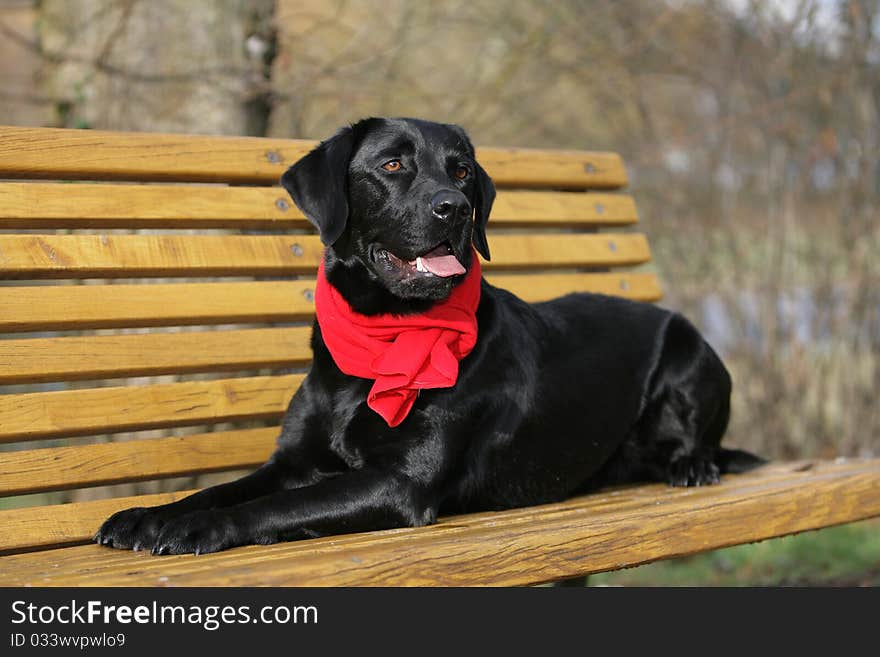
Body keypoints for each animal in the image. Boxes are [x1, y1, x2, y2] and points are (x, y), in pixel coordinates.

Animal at [93, 116, 760, 552]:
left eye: (461, 172)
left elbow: (276, 505)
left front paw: (193, 529)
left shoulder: (399, 483)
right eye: (393, 165)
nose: (455, 208)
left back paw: (693, 465)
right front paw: (150, 515)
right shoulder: (292, 462)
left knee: (698, 438)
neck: (382, 336)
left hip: (692, 356)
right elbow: (225, 489)